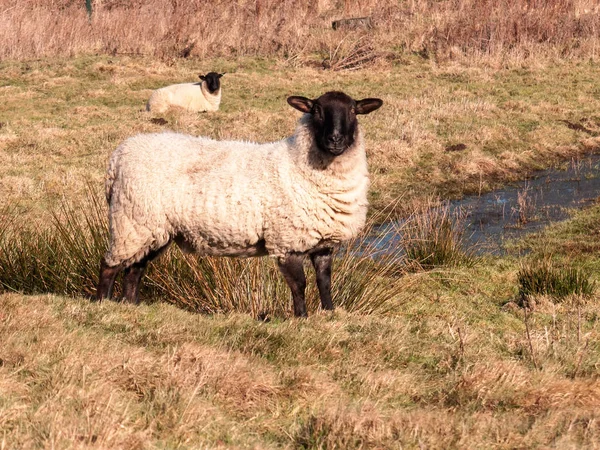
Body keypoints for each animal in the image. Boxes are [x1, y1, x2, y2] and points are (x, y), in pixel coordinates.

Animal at [96, 90, 382, 316]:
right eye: (317, 111)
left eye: (353, 111)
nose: (335, 139)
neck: (299, 165)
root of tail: (117, 157)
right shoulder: (286, 240)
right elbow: (299, 285)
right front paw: (301, 318)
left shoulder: (323, 243)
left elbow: (325, 282)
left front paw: (329, 313)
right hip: (130, 221)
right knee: (109, 266)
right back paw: (101, 304)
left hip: (153, 228)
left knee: (134, 270)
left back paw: (132, 306)